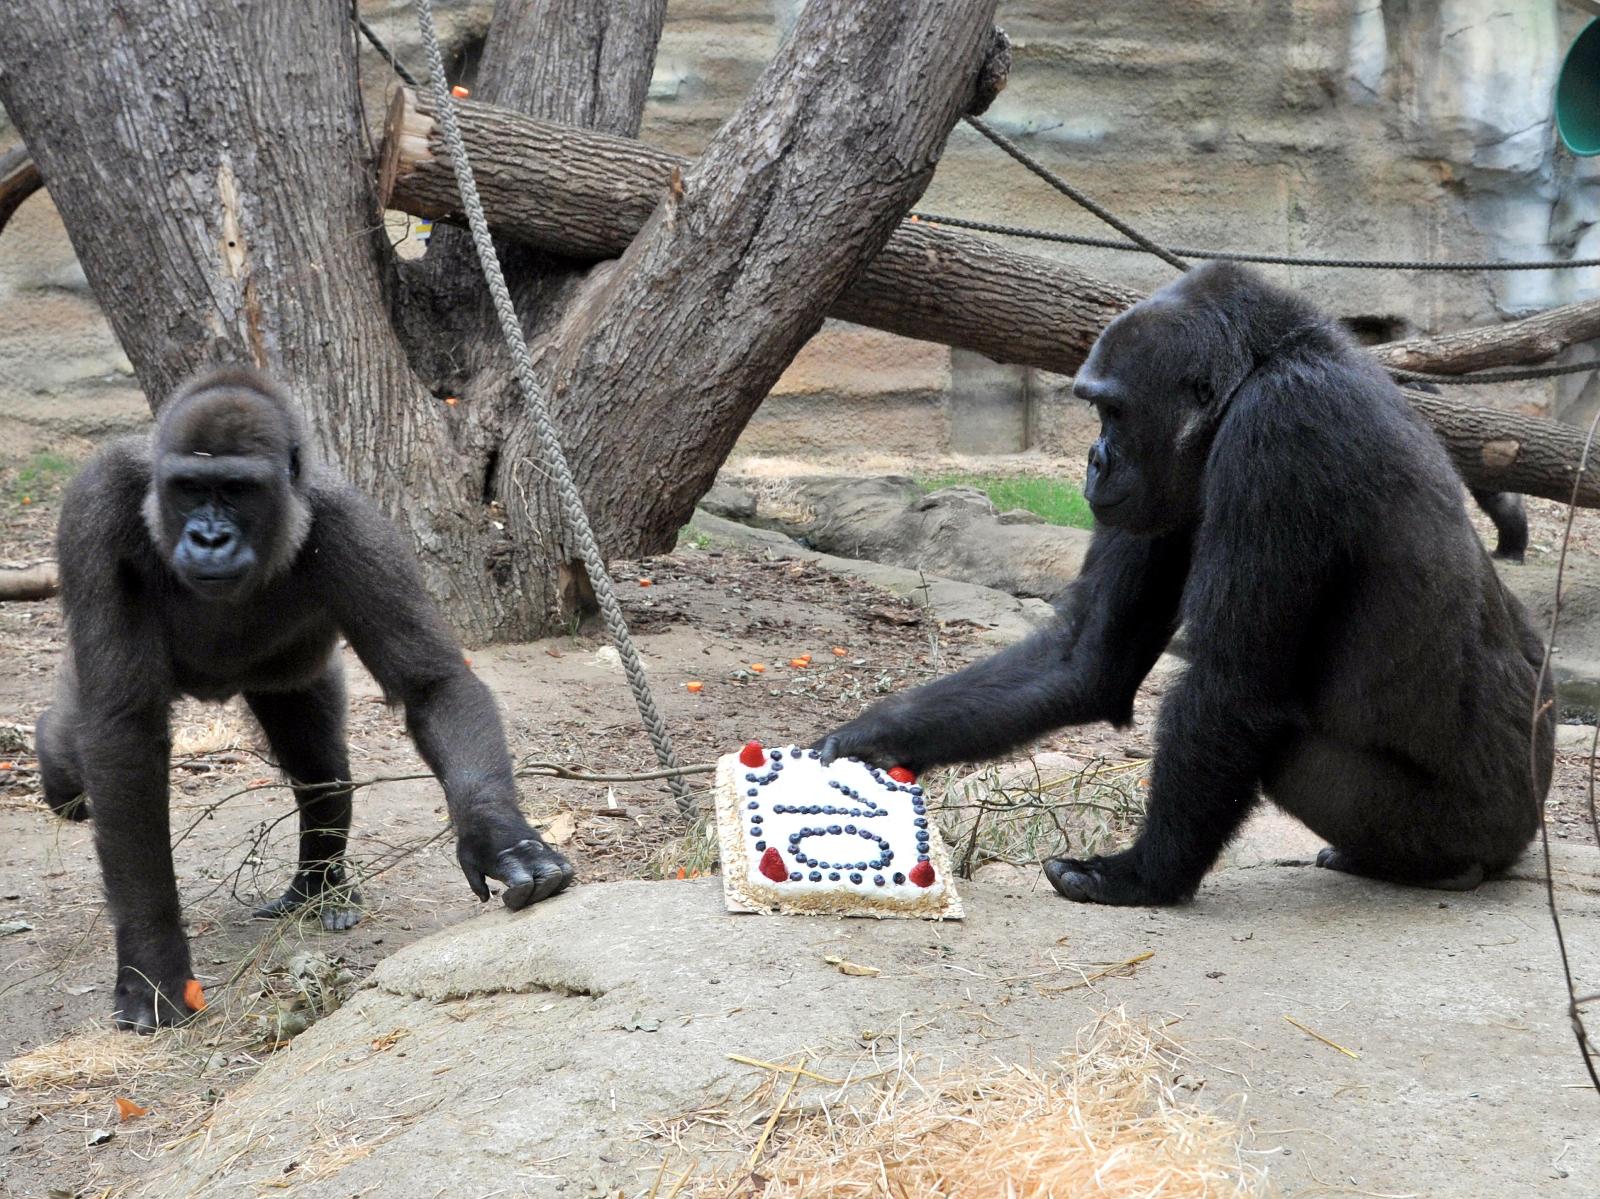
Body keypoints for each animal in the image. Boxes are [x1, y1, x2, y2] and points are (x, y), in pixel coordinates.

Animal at [34, 366, 576, 1030]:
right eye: (189, 488)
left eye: (238, 490)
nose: (209, 538)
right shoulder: (98, 503)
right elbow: (121, 732)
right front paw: (151, 963)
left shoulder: (354, 522)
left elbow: (433, 683)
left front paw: (501, 838)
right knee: (77, 746)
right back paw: (52, 757)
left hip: (291, 678)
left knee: (316, 763)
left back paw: (319, 888)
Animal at [825, 264, 1548, 909]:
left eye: (1112, 410)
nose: (1095, 461)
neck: (1266, 363)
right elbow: (1090, 659)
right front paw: (874, 738)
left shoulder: (1278, 435)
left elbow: (1231, 688)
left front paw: (1142, 875)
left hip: (1475, 821)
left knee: (1289, 754)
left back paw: (1436, 867)